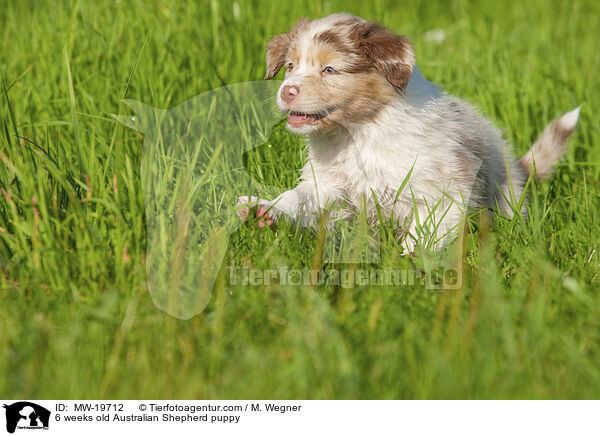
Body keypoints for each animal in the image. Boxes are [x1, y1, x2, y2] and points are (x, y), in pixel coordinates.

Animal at [237, 12, 580, 252]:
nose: (286, 92)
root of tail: (519, 171)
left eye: (330, 70)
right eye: (290, 66)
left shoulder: (443, 189)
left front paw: (409, 266)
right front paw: (264, 209)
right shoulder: (330, 182)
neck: (359, 130)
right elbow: (299, 196)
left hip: (505, 197)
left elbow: (426, 232)